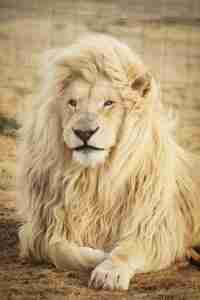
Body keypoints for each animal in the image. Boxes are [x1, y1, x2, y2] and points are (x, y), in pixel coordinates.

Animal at [16, 34, 200, 290]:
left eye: (109, 103)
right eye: (72, 103)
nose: (84, 132)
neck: (94, 178)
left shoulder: (155, 228)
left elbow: (126, 250)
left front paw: (109, 272)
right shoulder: (42, 229)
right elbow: (59, 249)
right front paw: (97, 255)